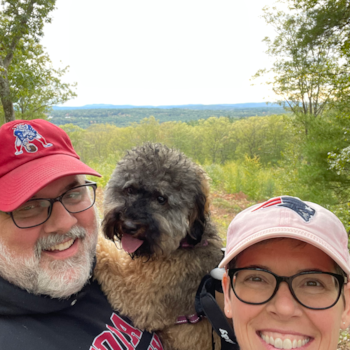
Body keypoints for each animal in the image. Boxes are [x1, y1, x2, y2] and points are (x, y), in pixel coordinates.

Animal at [94, 143, 223, 350]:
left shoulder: (140, 297)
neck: (181, 246)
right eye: (129, 190)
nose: (129, 226)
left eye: (161, 199)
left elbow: (107, 256)